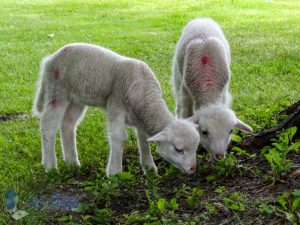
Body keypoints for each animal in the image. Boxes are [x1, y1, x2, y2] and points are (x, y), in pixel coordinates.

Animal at [32, 42, 200, 176]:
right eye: (178, 149)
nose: (192, 169)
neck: (145, 96)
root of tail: (49, 59)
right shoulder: (116, 105)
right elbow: (119, 138)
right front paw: (115, 173)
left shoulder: (141, 117)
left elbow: (143, 140)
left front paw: (149, 168)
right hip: (57, 91)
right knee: (48, 126)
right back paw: (50, 166)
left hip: (76, 98)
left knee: (67, 125)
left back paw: (72, 162)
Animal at [172, 18, 252, 161]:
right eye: (204, 132)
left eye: (231, 131)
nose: (219, 156)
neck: (208, 85)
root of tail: (201, 19)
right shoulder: (185, 94)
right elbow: (185, 114)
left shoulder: (224, 92)